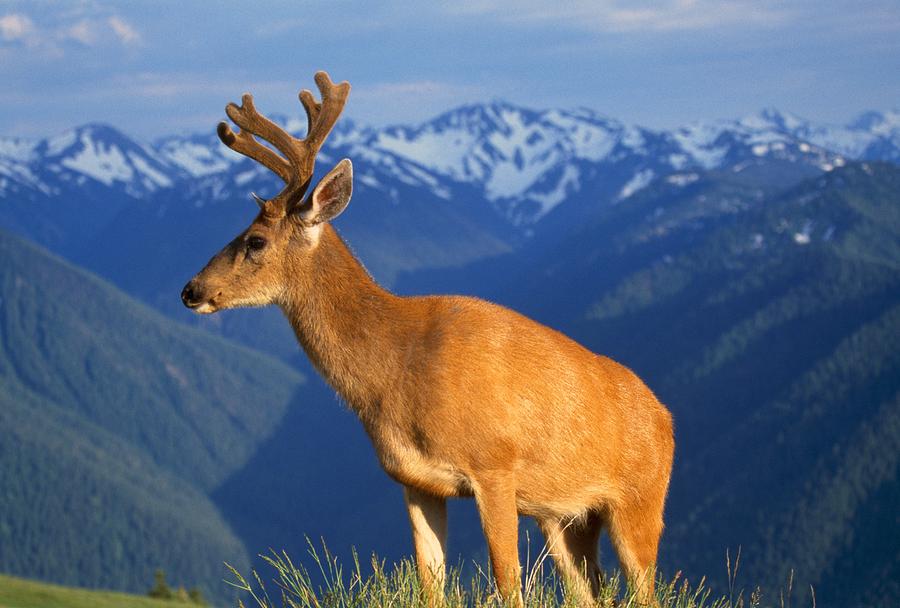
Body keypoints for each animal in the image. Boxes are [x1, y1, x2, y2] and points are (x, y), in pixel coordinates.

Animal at [181, 71, 675, 607]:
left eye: (255, 241)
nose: (191, 290)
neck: (397, 368)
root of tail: (666, 418)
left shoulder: (495, 466)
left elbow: (508, 584)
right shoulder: (415, 480)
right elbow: (430, 582)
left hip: (641, 502)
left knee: (645, 588)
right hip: (566, 517)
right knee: (590, 590)